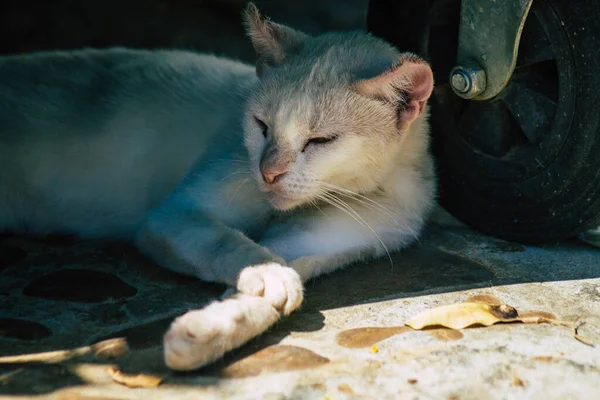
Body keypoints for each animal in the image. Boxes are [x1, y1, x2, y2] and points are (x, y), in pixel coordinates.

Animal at [0, 3, 436, 372]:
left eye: (319, 141)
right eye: (262, 126)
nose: (268, 172)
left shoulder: (307, 245)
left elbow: (264, 290)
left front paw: (202, 334)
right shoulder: (175, 215)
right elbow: (235, 247)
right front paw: (266, 279)